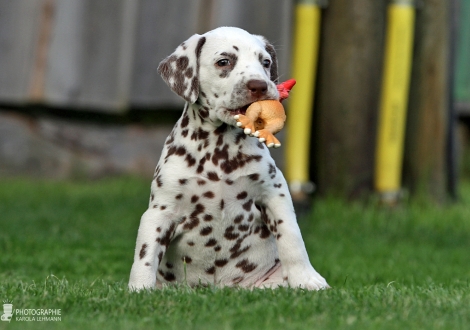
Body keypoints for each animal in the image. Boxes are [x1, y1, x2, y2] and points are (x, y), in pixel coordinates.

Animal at [126, 26, 328, 288]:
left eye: (265, 62)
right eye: (224, 61)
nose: (259, 85)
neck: (220, 152)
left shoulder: (275, 195)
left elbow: (292, 238)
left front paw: (306, 278)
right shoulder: (160, 211)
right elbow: (145, 255)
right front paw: (139, 289)